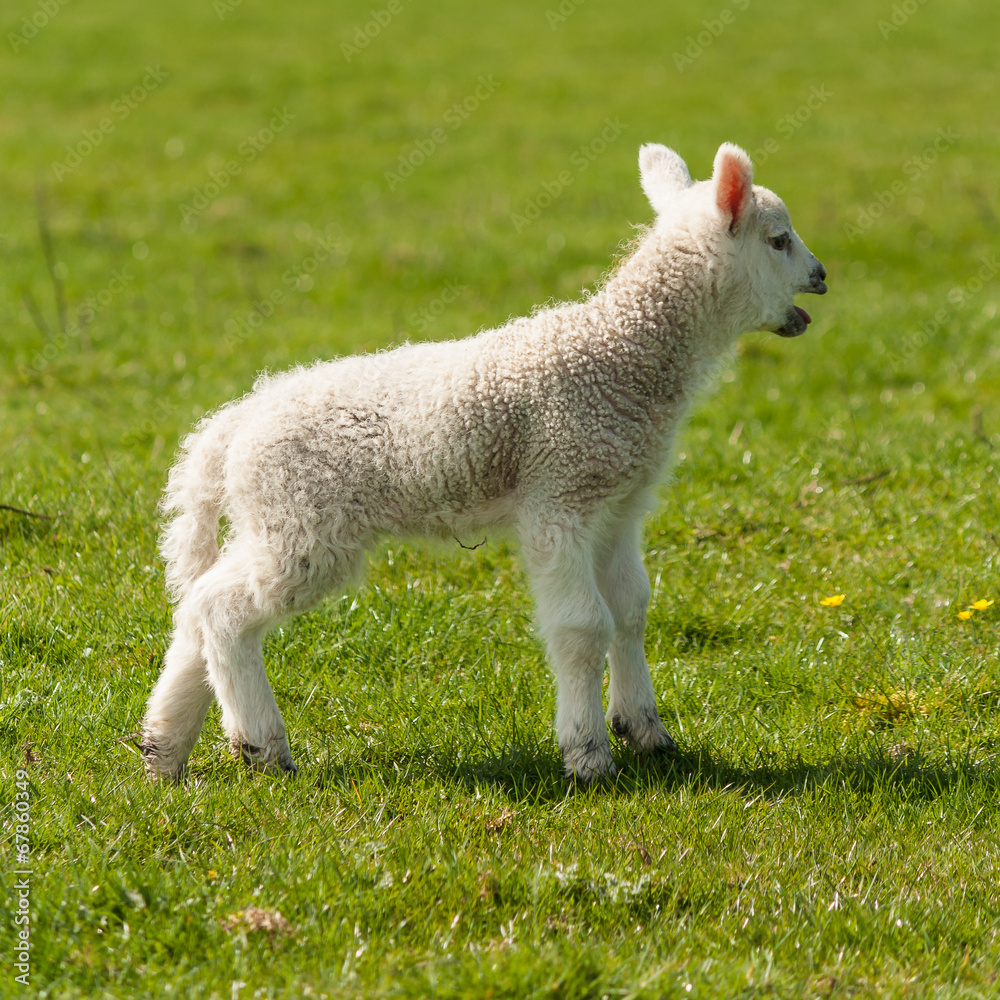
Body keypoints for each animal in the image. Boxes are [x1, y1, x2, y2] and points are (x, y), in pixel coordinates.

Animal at [140, 142, 827, 783]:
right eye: (779, 240)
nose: (821, 275)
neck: (623, 355)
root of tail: (232, 425)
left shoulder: (619, 502)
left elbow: (631, 609)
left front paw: (645, 732)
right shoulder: (560, 493)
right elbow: (584, 628)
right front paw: (588, 757)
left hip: (271, 519)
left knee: (195, 606)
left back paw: (163, 747)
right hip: (304, 522)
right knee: (223, 609)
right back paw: (261, 746)